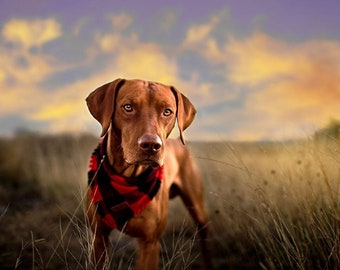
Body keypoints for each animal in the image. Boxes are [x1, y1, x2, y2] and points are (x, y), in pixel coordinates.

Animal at [86, 78, 211, 270]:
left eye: (167, 111)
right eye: (128, 107)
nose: (152, 145)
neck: (128, 179)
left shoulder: (150, 243)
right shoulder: (99, 238)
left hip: (197, 207)